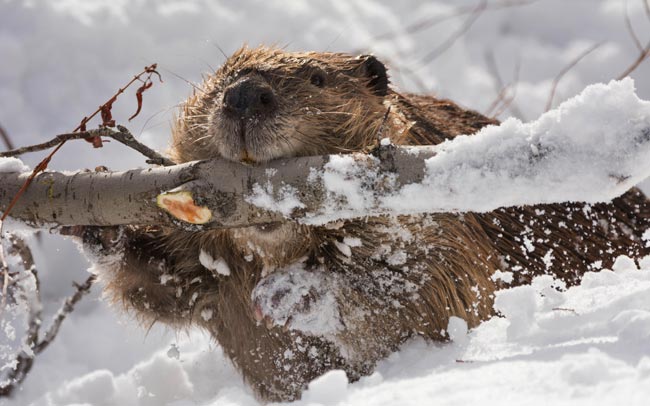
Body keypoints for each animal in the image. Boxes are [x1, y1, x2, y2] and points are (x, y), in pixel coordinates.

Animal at [77, 46, 648, 402]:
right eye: (218, 81)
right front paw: (99, 223)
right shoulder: (210, 267)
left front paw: (292, 294)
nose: (243, 97)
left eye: (317, 77)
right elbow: (162, 285)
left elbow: (441, 286)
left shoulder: (447, 220)